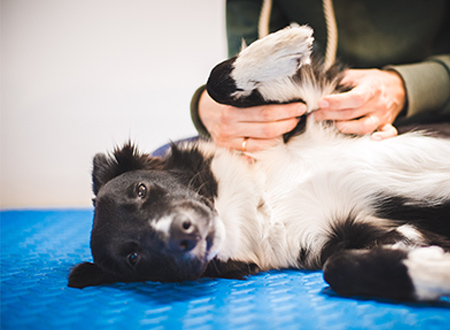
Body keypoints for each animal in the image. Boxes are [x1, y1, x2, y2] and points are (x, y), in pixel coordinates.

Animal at [69, 25, 450, 302]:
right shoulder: (362, 236)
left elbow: (216, 81)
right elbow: (337, 268)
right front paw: (434, 270)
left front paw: (281, 45)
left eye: (141, 190)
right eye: (133, 257)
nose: (183, 232)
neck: (264, 197)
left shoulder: (313, 108)